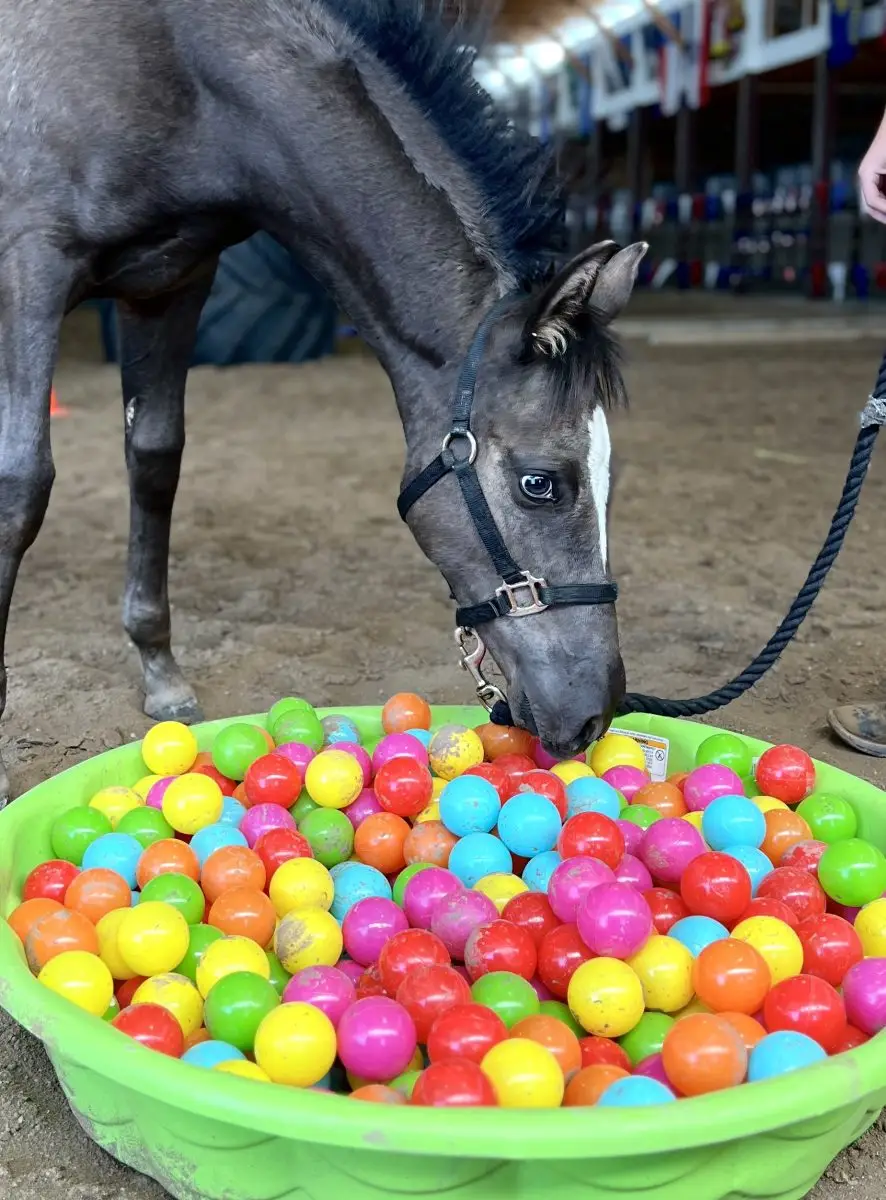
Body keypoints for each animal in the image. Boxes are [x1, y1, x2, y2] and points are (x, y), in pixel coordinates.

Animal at [0, 0, 647, 805]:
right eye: (541, 482)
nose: (596, 711)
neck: (178, 62)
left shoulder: (170, 282)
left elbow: (153, 459)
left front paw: (161, 674)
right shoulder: (30, 261)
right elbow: (22, 484)